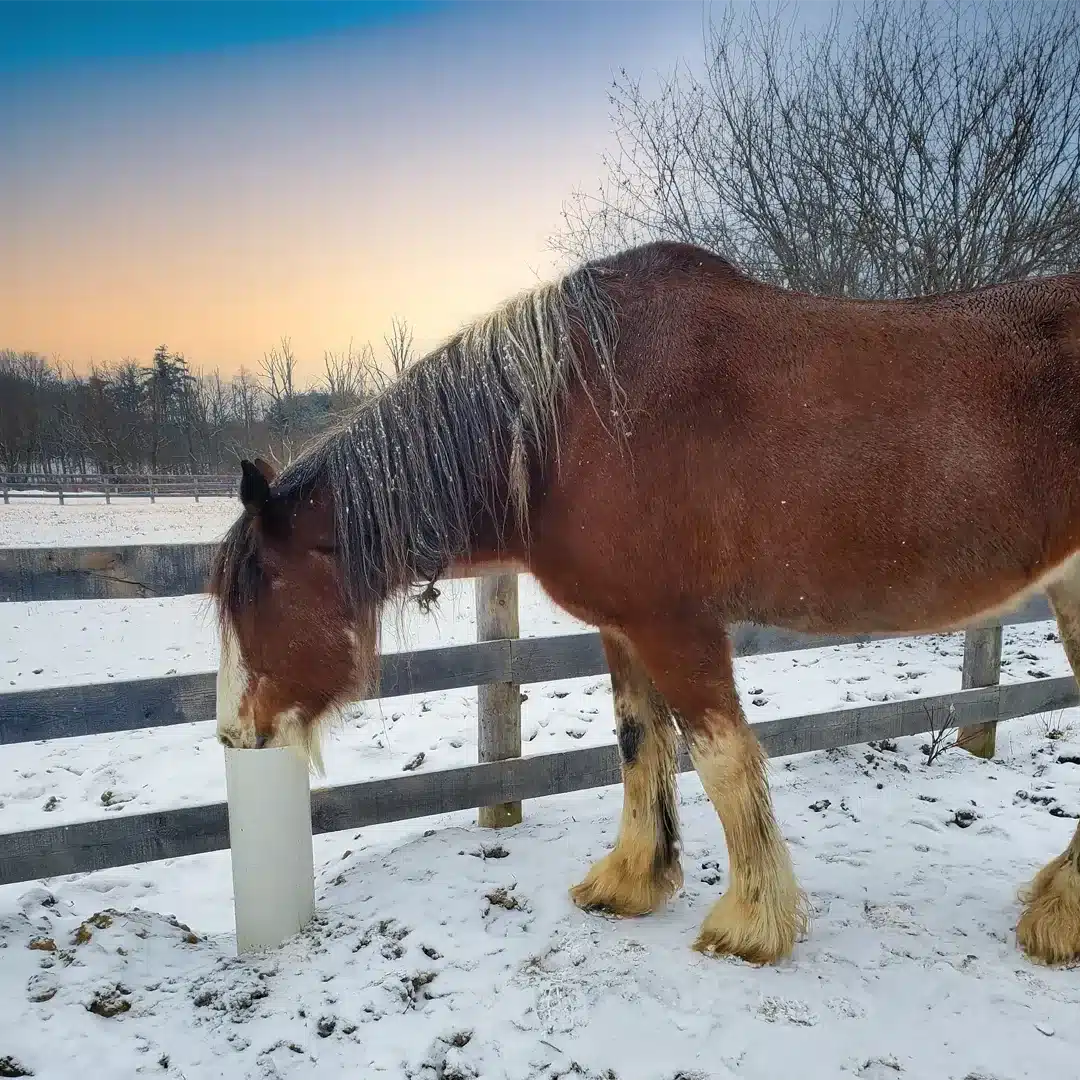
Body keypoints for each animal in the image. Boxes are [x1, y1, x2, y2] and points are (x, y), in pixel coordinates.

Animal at [210, 239, 1080, 968]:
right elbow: (640, 743)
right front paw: (631, 881)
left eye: (266, 589)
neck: (572, 422)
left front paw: (750, 924)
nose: (234, 732)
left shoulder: (677, 626)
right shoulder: (624, 626)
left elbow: (722, 758)